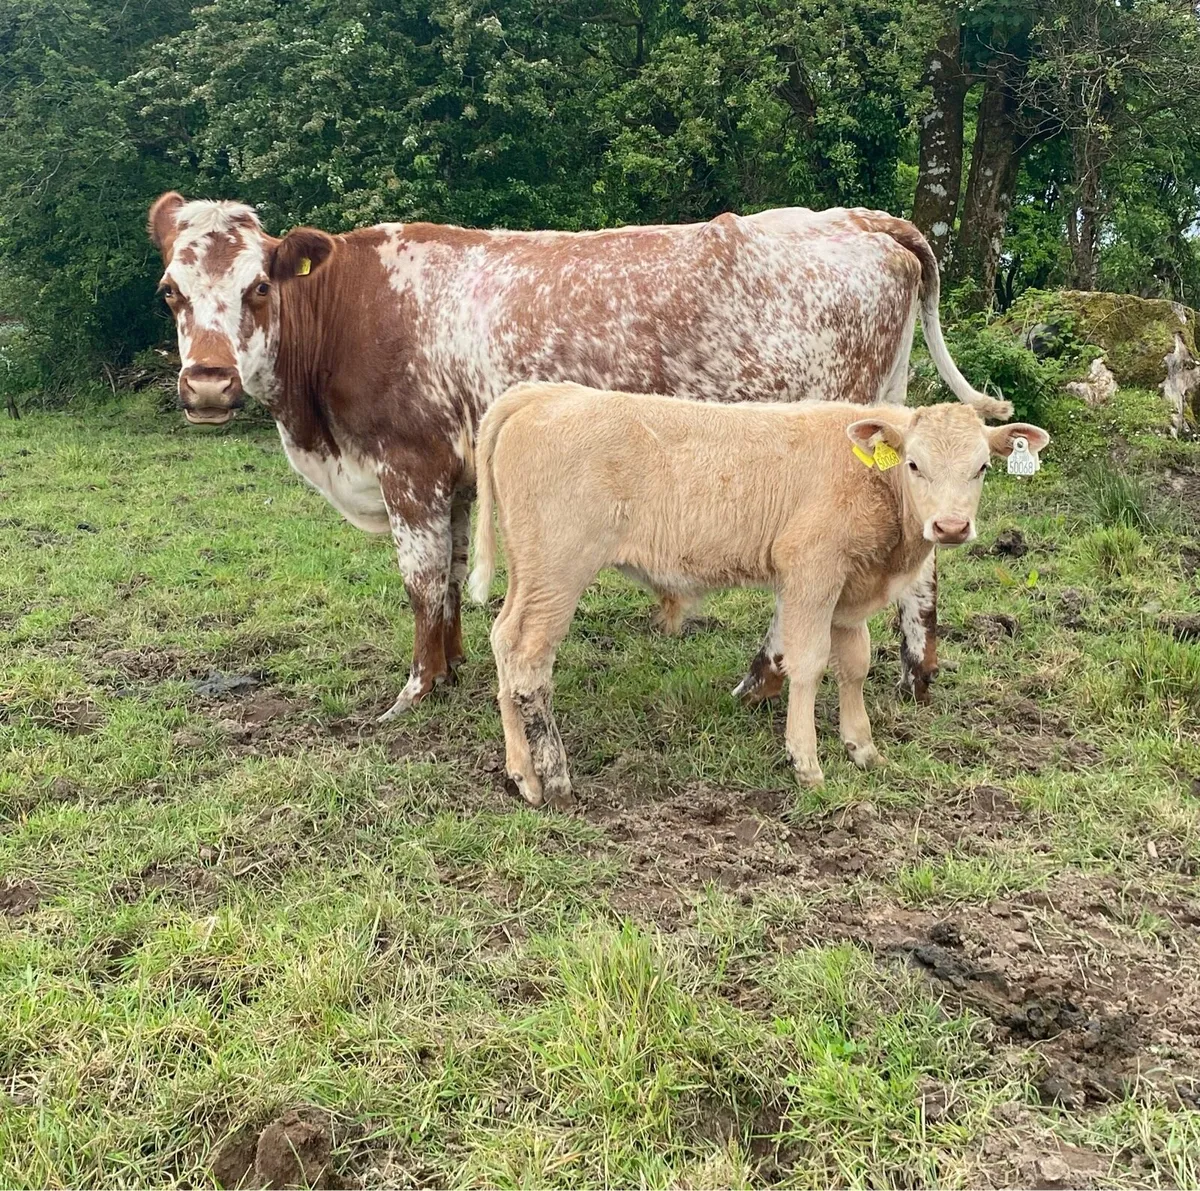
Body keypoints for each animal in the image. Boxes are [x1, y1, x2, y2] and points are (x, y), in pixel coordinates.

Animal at [147, 193, 1012, 720]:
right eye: (170, 291)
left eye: (260, 286)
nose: (208, 382)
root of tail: (856, 217)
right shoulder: (452, 477)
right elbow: (452, 581)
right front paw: (451, 672)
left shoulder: (409, 465)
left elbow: (421, 585)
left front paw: (415, 691)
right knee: (922, 565)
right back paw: (913, 675)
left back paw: (763, 678)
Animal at [469, 383, 1048, 806]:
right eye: (913, 464)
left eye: (982, 466)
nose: (950, 527)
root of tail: (544, 393)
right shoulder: (810, 570)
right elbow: (808, 663)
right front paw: (807, 763)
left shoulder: (849, 591)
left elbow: (855, 664)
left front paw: (863, 748)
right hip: (559, 569)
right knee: (529, 660)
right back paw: (555, 778)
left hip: (530, 572)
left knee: (503, 641)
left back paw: (522, 775)